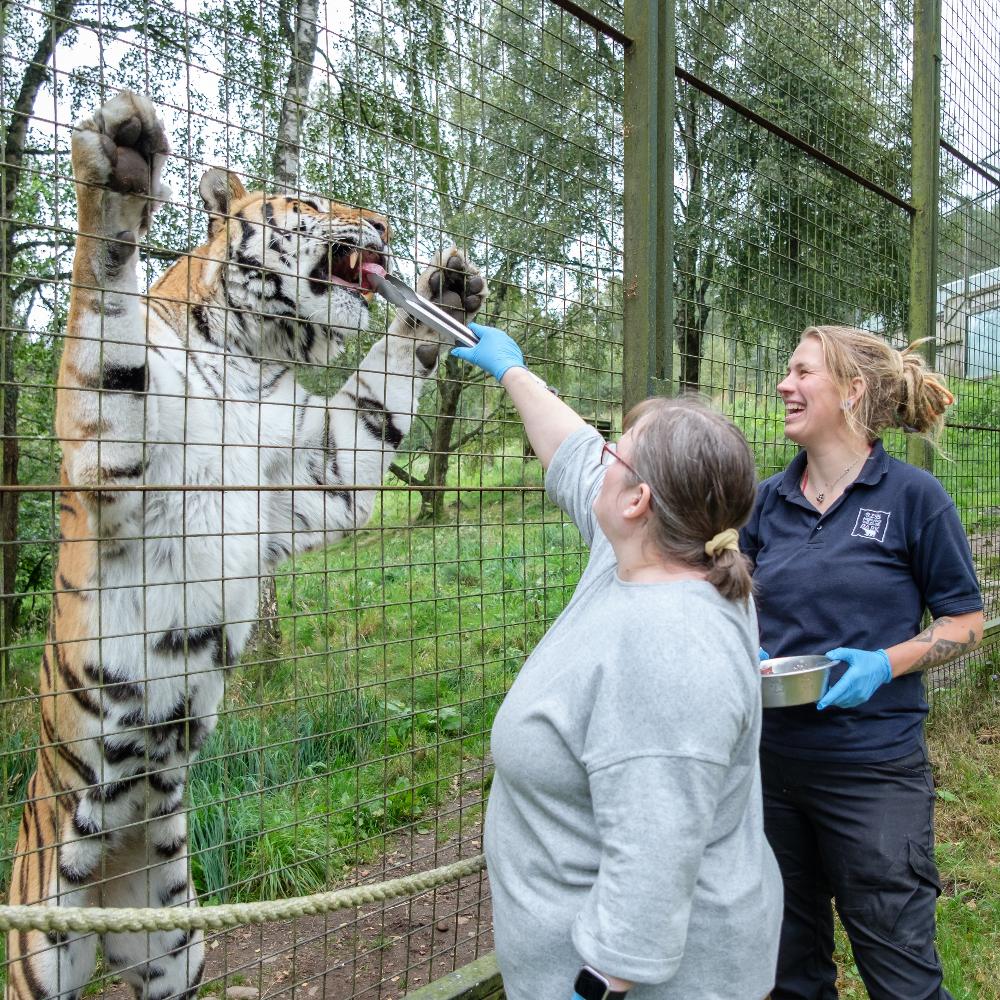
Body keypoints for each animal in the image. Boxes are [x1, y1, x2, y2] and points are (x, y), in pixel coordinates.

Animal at [3, 92, 488, 1000]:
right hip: (39, 951)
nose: (382, 223)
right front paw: (122, 166)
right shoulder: (117, 454)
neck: (254, 360)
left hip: (173, 941)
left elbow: (377, 392)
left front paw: (438, 297)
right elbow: (106, 311)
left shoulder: (311, 473)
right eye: (309, 202)